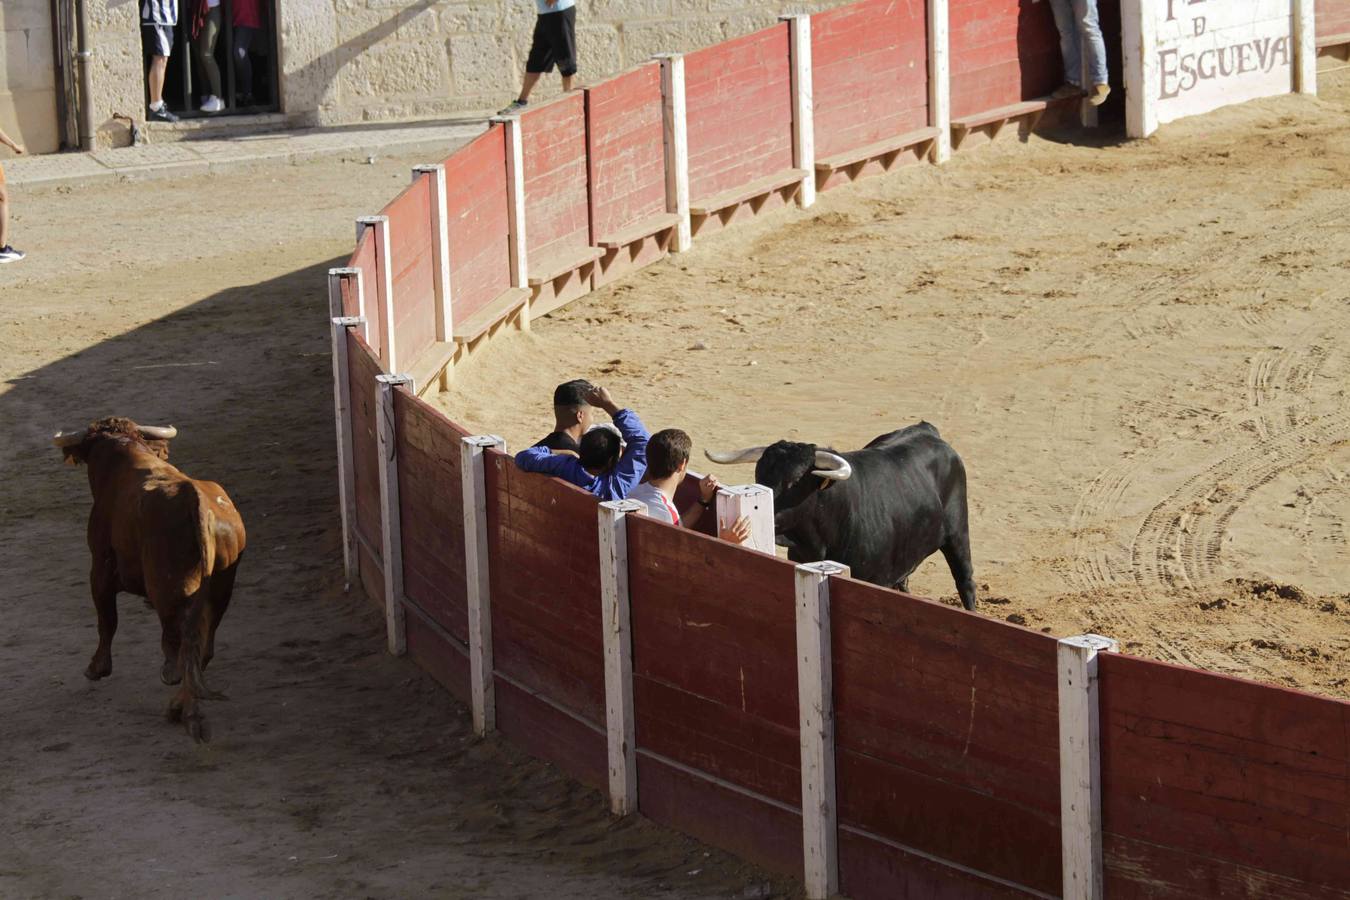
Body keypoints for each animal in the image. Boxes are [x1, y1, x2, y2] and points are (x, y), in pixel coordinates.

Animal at [54, 418, 245, 744]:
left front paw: (96, 667)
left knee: (181, 648)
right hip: (220, 589)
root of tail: (197, 504)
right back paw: (180, 709)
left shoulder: (100, 567)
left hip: (169, 590)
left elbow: (107, 619)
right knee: (201, 648)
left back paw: (184, 710)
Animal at [707, 423, 982, 612]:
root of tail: (928, 431)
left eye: (794, 481)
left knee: (965, 580)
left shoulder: (878, 580)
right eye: (759, 475)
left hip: (958, 533)